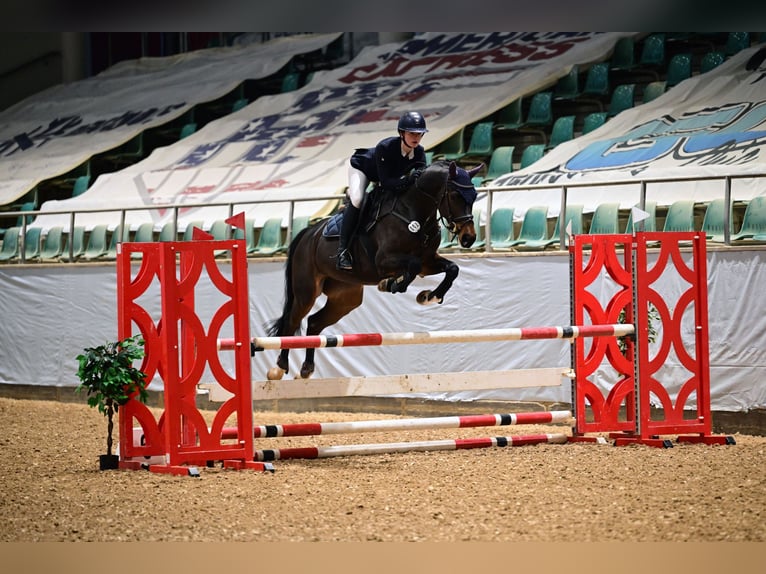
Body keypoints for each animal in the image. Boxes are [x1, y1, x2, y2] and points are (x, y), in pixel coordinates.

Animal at [264, 160, 480, 382]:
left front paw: (429, 296)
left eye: (474, 196)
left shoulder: (427, 262)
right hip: (306, 291)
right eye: (455, 195)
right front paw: (391, 284)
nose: (469, 238)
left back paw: (306, 368)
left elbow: (452, 269)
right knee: (291, 322)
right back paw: (279, 367)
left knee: (314, 323)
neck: (415, 211)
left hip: (346, 297)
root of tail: (308, 233)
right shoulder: (383, 261)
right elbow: (411, 266)